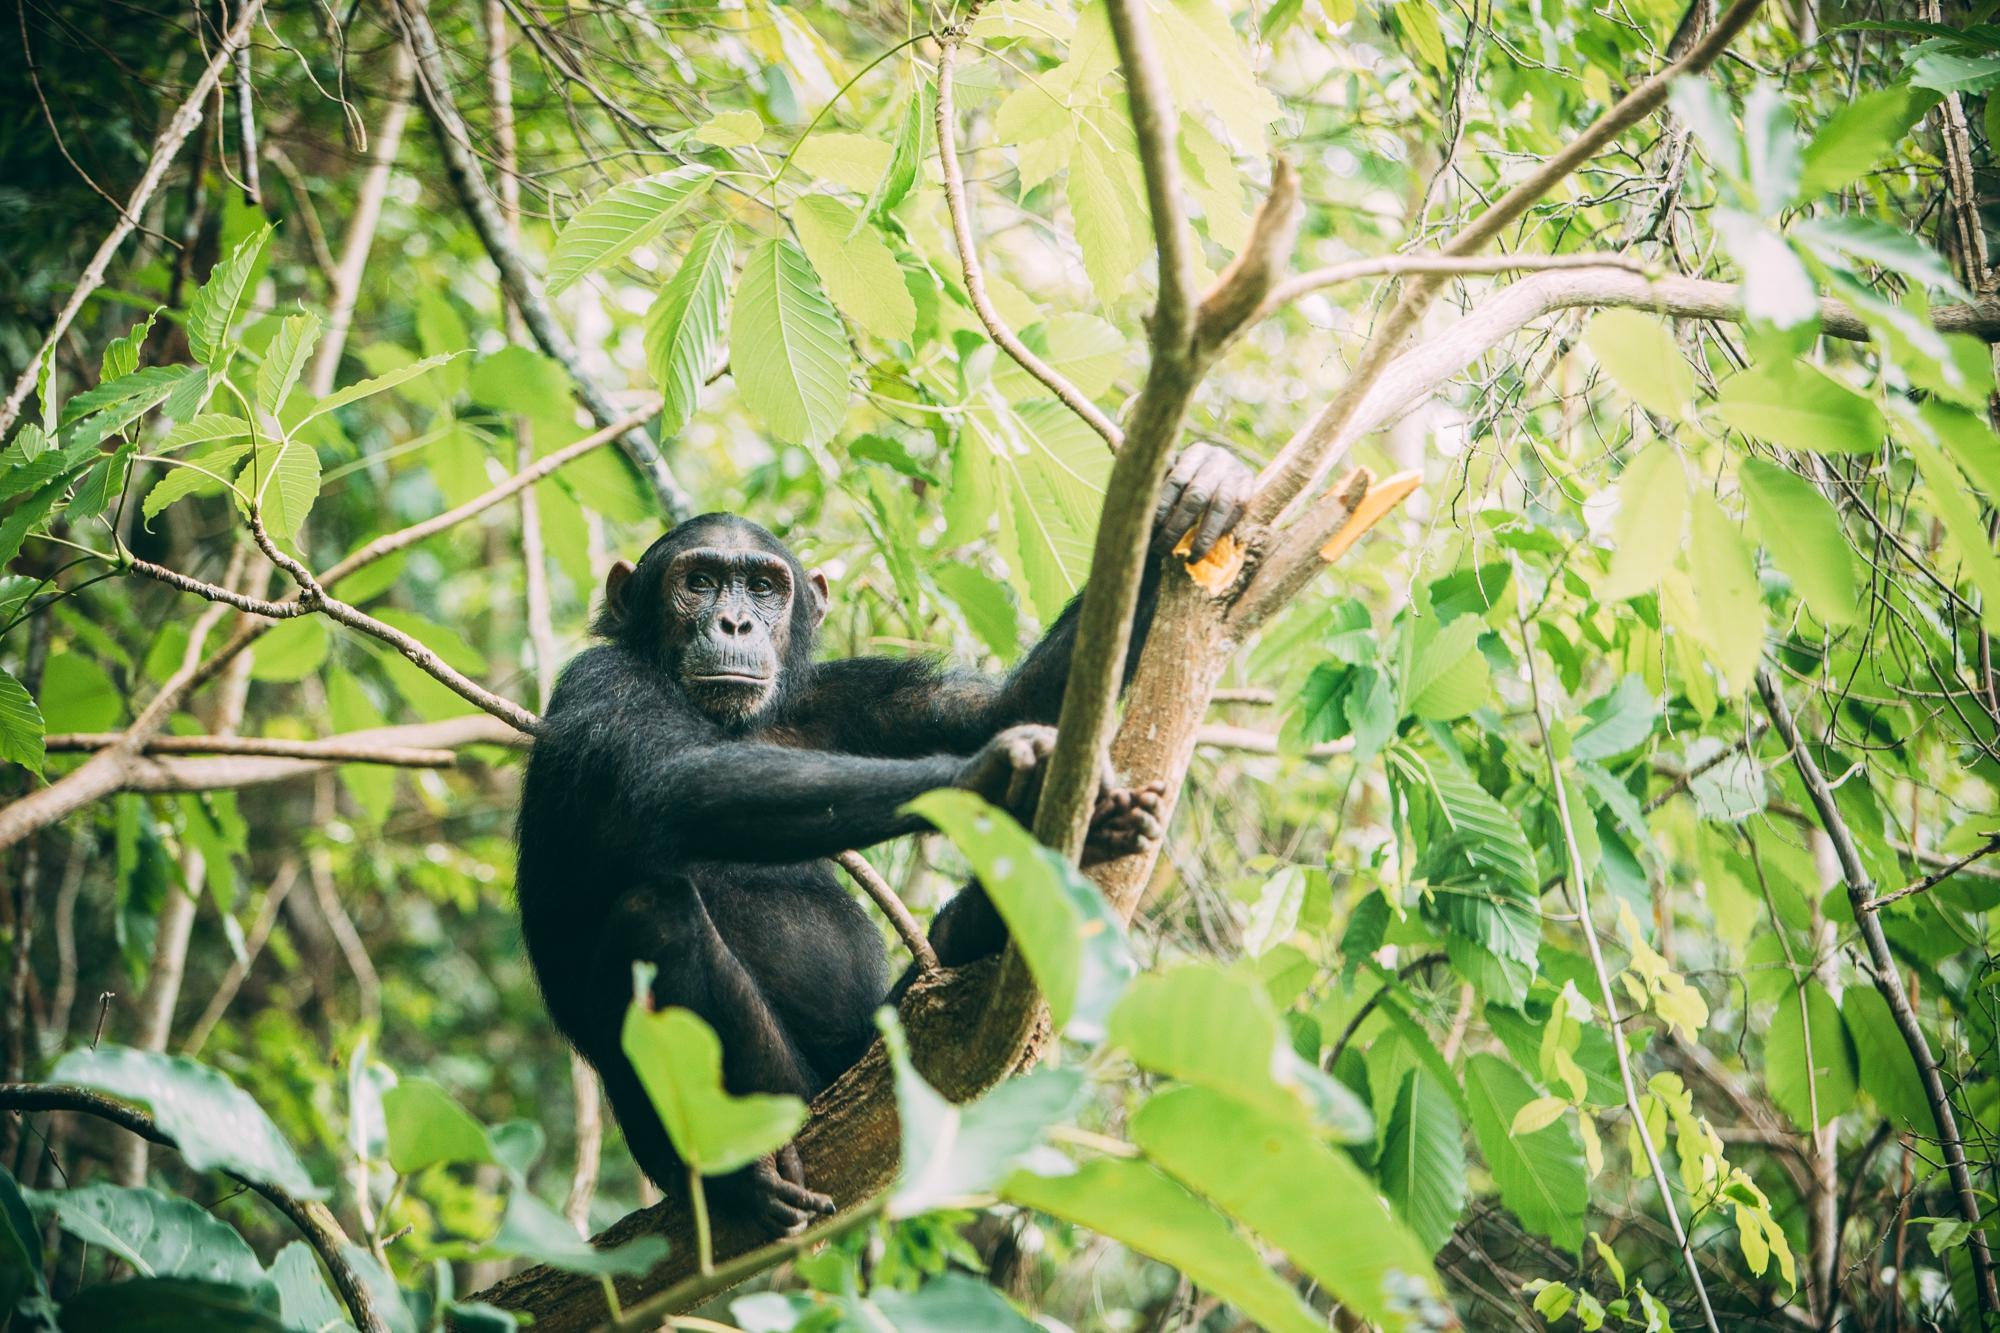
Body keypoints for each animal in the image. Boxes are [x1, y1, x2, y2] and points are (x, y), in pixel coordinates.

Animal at [524, 440, 1256, 1232]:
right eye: (699, 581)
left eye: (762, 586)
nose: (734, 624)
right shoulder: (602, 685)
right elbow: (675, 780)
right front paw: (993, 775)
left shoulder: (839, 698)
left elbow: (1000, 705)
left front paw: (1192, 493)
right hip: (783, 1098)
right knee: (651, 915)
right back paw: (738, 1172)